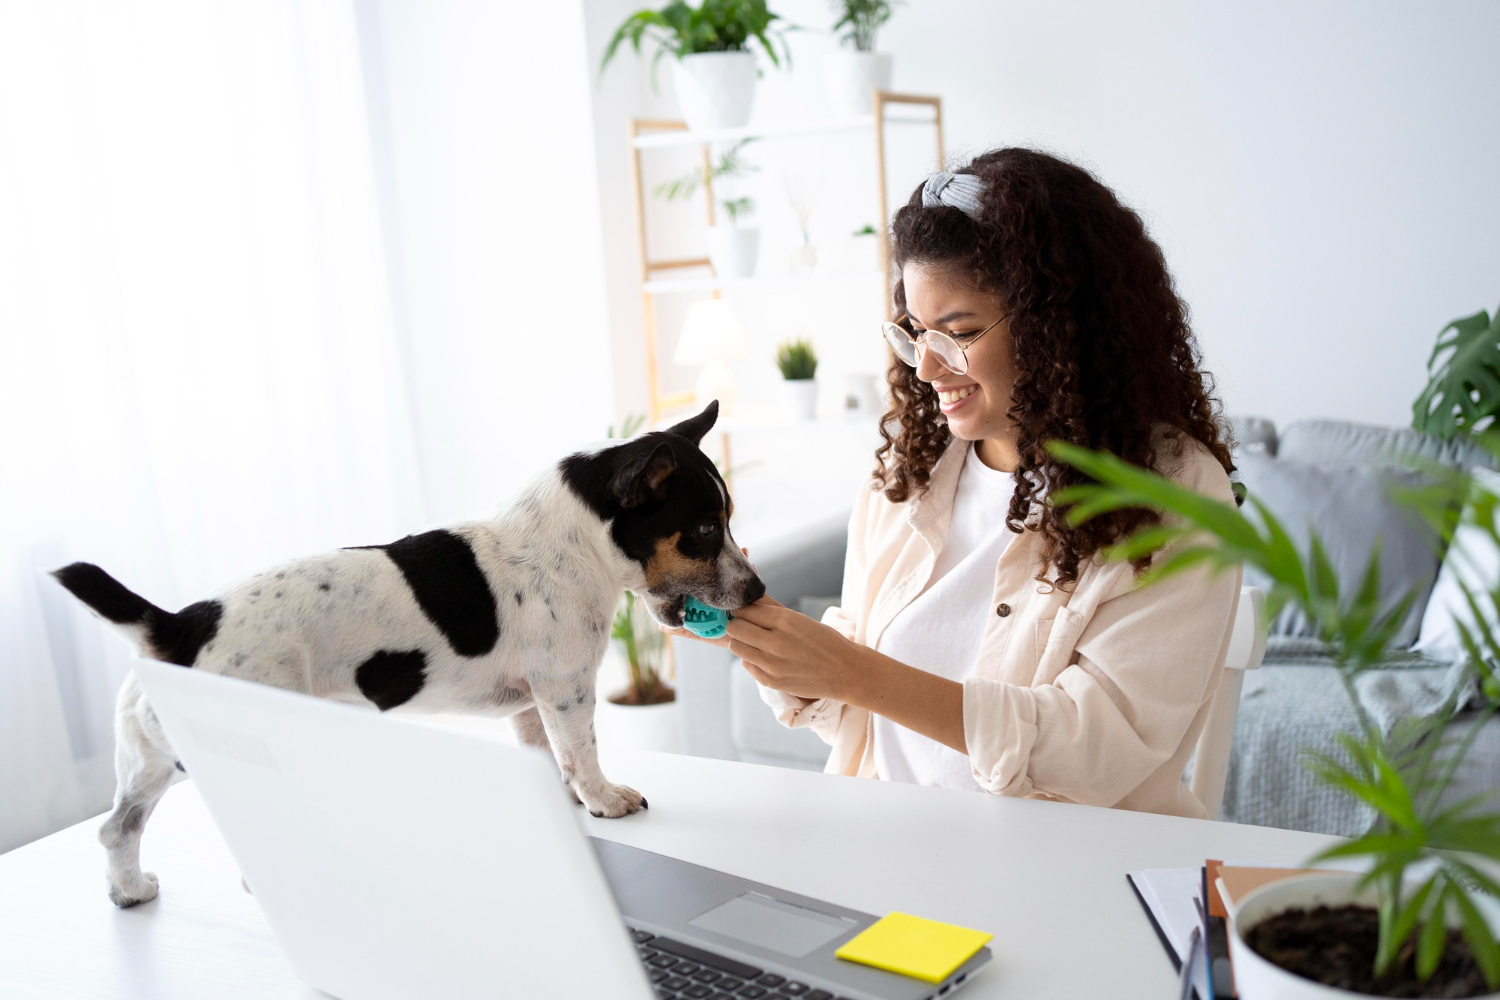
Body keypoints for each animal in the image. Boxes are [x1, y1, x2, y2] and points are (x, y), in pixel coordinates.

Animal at [55, 401, 762, 905]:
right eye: (704, 530)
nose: (758, 591)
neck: (575, 539)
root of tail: (180, 626)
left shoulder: (531, 704)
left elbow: (544, 754)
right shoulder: (566, 690)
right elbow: (582, 754)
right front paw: (605, 800)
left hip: (148, 761)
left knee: (116, 827)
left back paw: (130, 892)